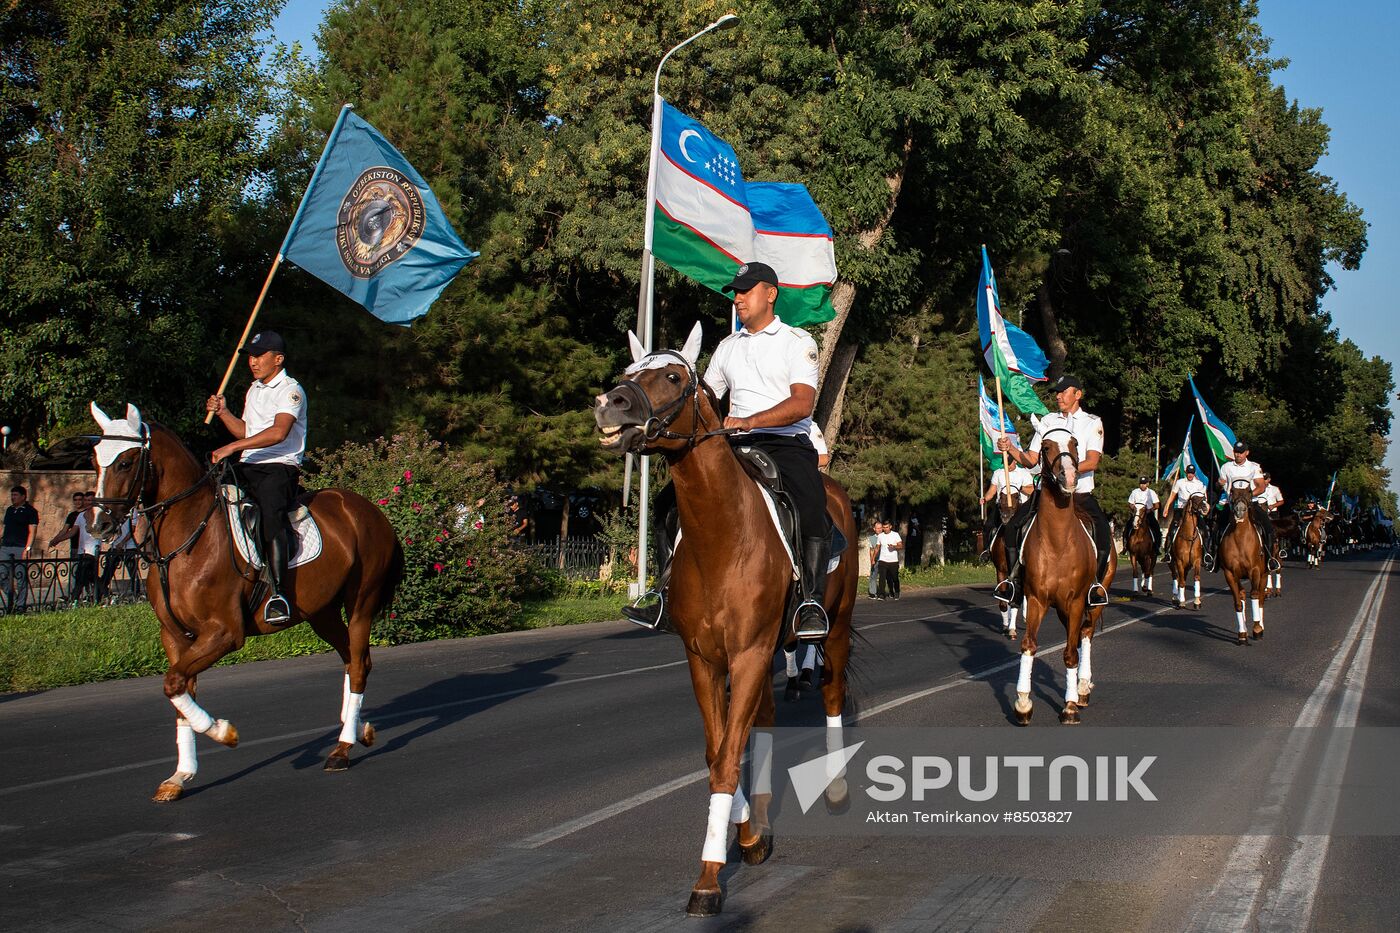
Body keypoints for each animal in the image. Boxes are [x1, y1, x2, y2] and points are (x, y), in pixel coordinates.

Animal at [88, 400, 400, 801]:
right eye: (95, 460)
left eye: (126, 462)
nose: (99, 525)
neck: (186, 538)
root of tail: (368, 508)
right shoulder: (175, 637)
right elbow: (179, 692)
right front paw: (180, 775)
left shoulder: (224, 633)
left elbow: (174, 685)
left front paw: (223, 732)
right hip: (322, 613)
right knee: (353, 659)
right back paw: (356, 727)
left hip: (360, 603)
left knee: (359, 664)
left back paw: (342, 748)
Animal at [588, 326, 856, 913]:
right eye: (627, 370)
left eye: (672, 376)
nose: (609, 405)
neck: (721, 533)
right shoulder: (705, 658)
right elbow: (719, 750)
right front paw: (744, 834)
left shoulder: (750, 652)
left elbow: (730, 753)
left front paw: (710, 877)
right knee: (767, 717)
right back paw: (761, 816)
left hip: (835, 625)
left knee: (829, 693)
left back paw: (835, 789)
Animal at [1008, 428, 1114, 728]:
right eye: (1045, 447)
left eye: (1075, 443)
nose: (1068, 477)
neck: (1057, 541)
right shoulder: (1036, 599)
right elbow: (1029, 645)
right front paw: (1023, 703)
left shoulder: (1077, 601)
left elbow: (1070, 653)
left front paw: (1069, 707)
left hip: (1091, 600)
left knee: (1085, 635)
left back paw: (1082, 688)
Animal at [1226, 476, 1271, 644]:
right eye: (1232, 491)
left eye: (1250, 491)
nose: (1240, 510)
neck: (1240, 538)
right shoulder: (1230, 573)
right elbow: (1238, 602)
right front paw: (1242, 634)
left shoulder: (1255, 571)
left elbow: (1255, 596)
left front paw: (1257, 629)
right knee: (1243, 594)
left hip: (1264, 574)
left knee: (1261, 599)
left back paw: (1261, 627)